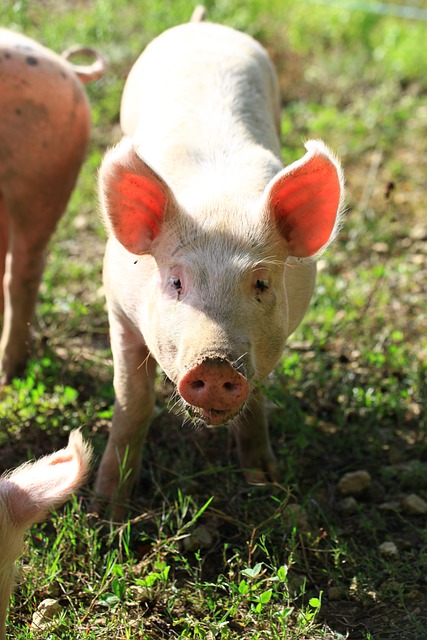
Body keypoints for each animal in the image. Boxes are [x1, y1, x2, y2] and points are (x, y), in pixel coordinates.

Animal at [96, 16, 344, 516]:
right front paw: (107, 509)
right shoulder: (118, 308)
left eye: (262, 283)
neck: (220, 206)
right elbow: (133, 401)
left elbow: (258, 398)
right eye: (175, 281)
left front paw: (265, 481)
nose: (214, 364)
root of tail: (201, 23)